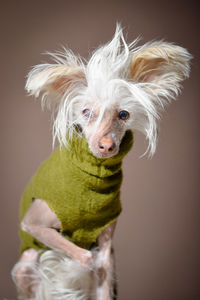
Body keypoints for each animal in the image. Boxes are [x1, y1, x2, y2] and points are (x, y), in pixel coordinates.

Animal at [11, 24, 191, 298]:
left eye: (123, 114)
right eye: (86, 112)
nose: (106, 145)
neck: (92, 178)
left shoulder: (107, 245)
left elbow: (100, 270)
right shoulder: (33, 223)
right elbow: (82, 256)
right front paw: (74, 270)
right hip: (28, 259)